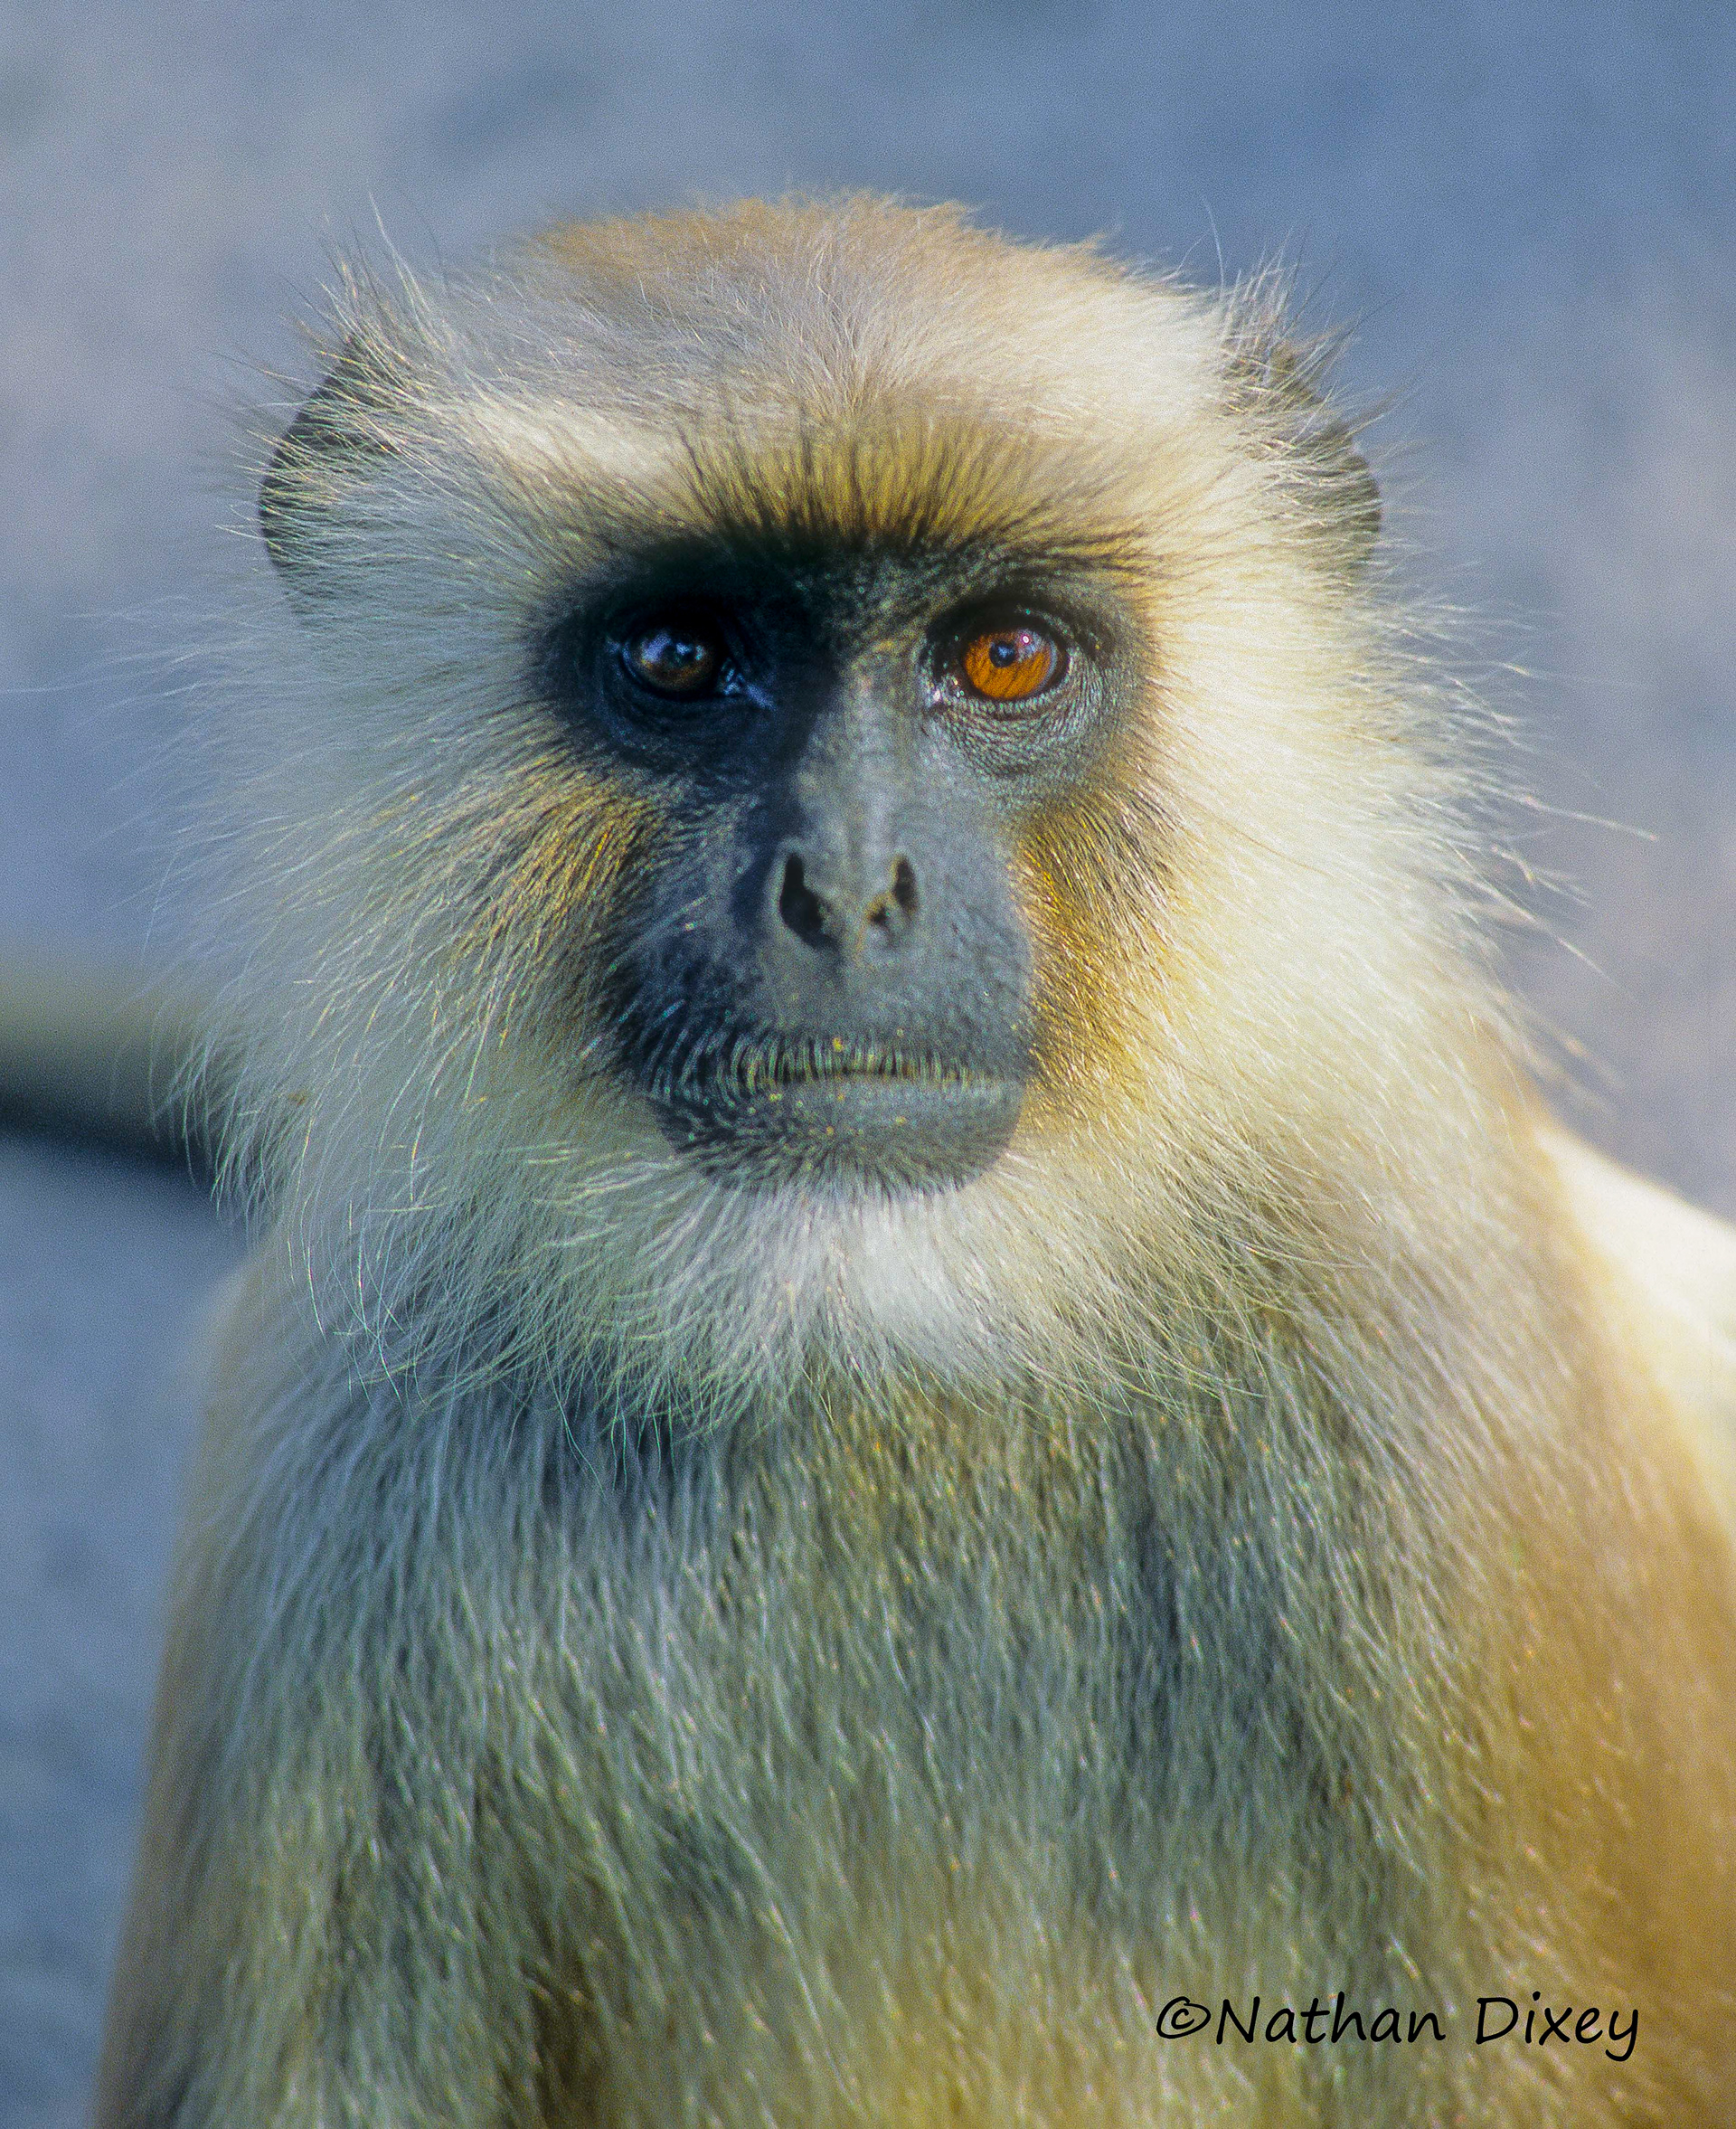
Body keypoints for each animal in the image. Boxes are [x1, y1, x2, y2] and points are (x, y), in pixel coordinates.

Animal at [84, 195, 1736, 2127]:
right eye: (680, 659)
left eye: (1005, 657)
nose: (849, 887)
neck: (884, 1362)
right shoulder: (330, 1467)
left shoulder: (1442, 1409)